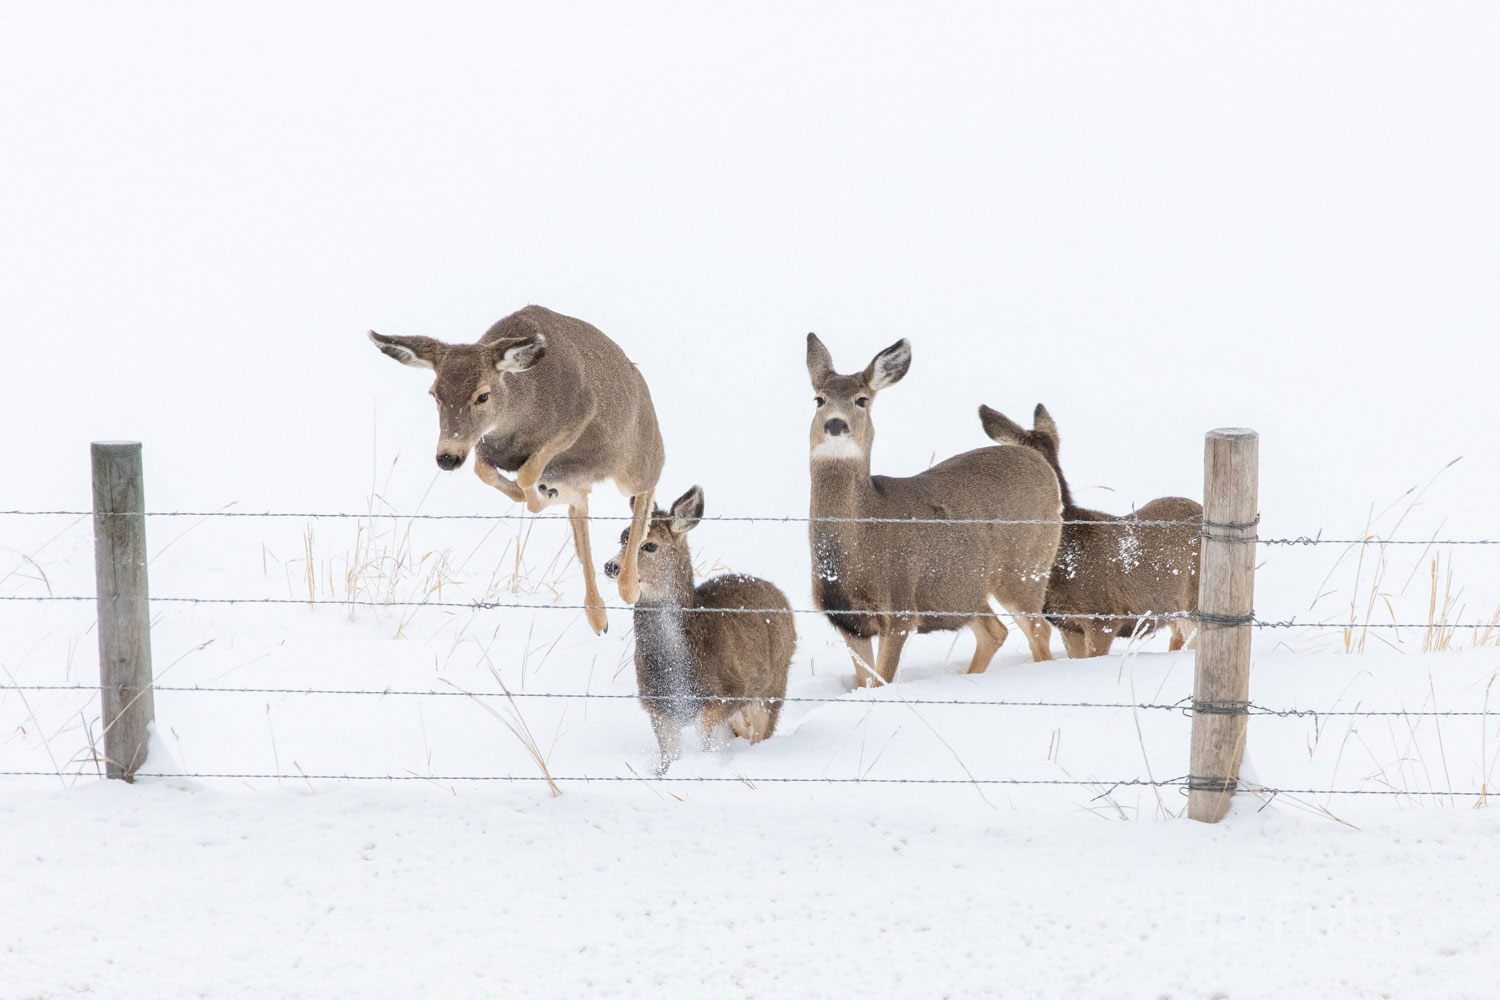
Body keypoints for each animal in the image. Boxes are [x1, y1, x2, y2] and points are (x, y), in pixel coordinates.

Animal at [366, 305, 660, 632]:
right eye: (435, 394)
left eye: (482, 395)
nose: (447, 457)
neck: (523, 409)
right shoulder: (484, 447)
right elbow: (487, 473)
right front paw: (537, 495)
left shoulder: (581, 412)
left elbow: (527, 472)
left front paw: (539, 495)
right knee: (580, 508)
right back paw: (598, 616)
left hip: (637, 461)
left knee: (647, 487)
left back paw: (629, 586)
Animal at [606, 485, 804, 773]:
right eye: (623, 537)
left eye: (650, 545)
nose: (611, 566)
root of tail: (781, 596)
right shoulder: (658, 706)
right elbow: (669, 756)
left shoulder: (728, 692)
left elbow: (705, 735)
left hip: (772, 685)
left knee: (761, 732)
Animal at [804, 335, 1062, 689]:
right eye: (819, 399)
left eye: (861, 400)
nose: (835, 424)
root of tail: (1041, 463)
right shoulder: (847, 619)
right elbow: (865, 682)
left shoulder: (899, 604)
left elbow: (883, 681)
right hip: (964, 588)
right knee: (995, 631)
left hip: (1025, 567)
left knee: (1039, 630)